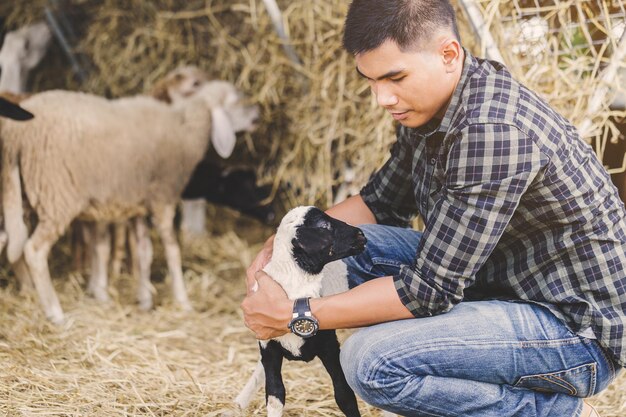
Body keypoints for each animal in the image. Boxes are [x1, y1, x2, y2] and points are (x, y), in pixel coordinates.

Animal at [236, 205, 368, 416]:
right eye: (324, 225)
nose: (361, 234)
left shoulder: (329, 347)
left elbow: (344, 395)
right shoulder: (269, 348)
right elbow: (275, 395)